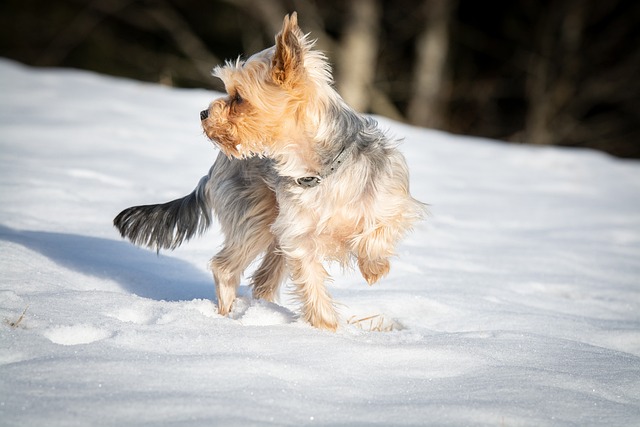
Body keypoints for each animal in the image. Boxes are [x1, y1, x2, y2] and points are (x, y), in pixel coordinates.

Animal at [115, 12, 424, 332]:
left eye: (238, 97)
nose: (203, 114)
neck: (322, 170)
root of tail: (216, 166)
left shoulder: (392, 199)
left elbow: (378, 230)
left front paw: (374, 268)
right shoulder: (299, 237)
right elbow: (311, 282)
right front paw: (326, 329)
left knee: (263, 279)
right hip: (256, 214)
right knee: (225, 266)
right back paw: (227, 318)